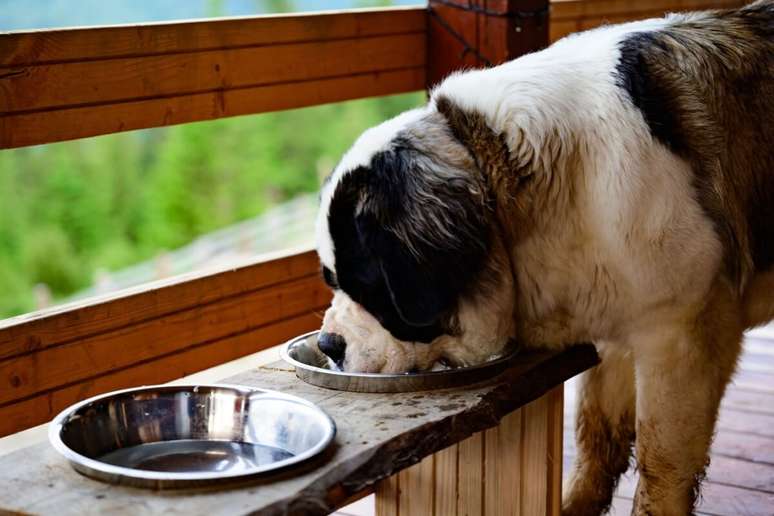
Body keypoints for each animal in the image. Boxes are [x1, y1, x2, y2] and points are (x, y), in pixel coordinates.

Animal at [314, 2, 768, 512]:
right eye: (331, 279)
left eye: (367, 285)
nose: (328, 345)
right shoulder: (617, 314)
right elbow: (598, 435)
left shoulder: (680, 335)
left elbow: (661, 461)